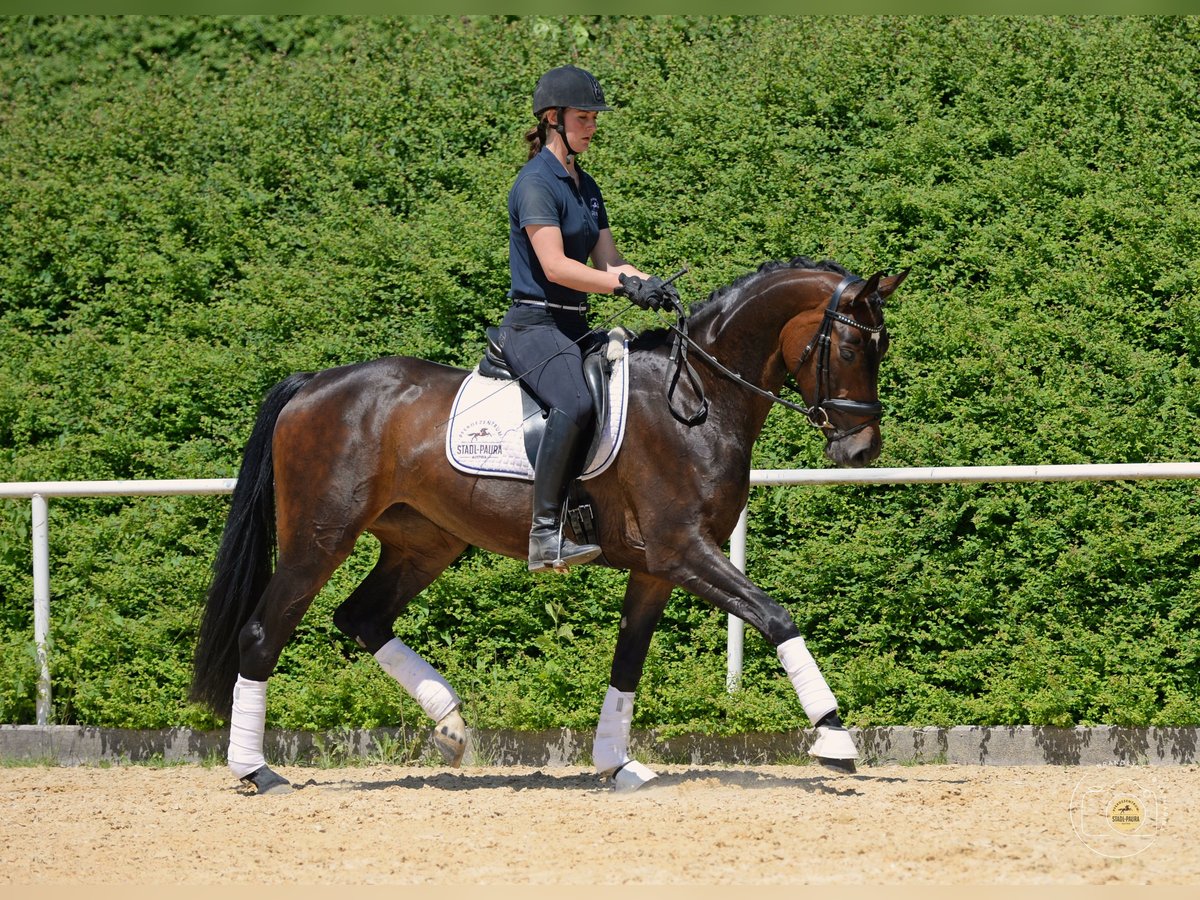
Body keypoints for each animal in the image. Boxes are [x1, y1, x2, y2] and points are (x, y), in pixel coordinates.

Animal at [190, 257, 908, 793]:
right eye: (851, 346)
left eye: (882, 346)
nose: (861, 449)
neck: (695, 397)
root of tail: (314, 383)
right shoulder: (684, 550)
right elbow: (775, 616)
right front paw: (834, 737)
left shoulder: (657, 568)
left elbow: (627, 661)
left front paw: (618, 763)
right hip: (319, 538)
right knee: (264, 631)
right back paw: (255, 770)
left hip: (425, 541)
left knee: (362, 616)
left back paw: (450, 724)